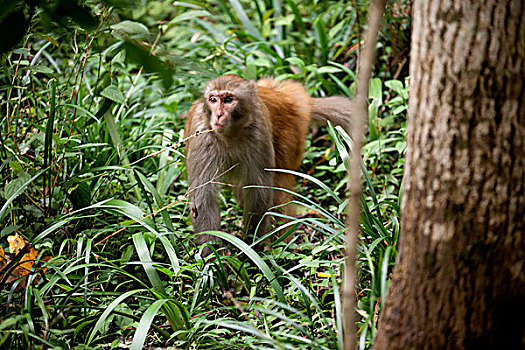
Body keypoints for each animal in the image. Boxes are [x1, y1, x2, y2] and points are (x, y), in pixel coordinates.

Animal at [184, 74, 352, 254]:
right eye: (213, 99)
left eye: (228, 100)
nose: (218, 115)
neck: (230, 134)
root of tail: (287, 96)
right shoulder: (202, 136)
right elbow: (203, 200)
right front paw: (214, 256)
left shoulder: (258, 133)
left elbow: (259, 192)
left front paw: (250, 245)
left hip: (291, 137)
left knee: (279, 186)